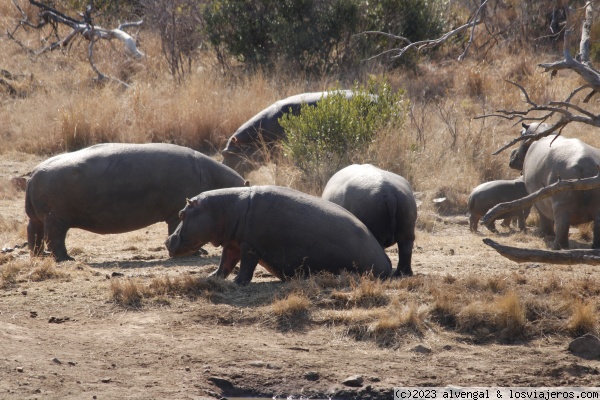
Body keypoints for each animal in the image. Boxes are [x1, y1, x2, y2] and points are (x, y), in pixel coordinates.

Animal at [24, 142, 247, 260]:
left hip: (39, 217)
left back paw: (38, 256)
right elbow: (178, 230)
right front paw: (198, 253)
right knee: (55, 238)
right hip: (57, 218)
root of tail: (34, 172)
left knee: (34, 233)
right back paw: (67, 259)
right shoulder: (177, 213)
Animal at [164, 186, 392, 286]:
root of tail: (388, 262)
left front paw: (238, 283)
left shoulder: (249, 245)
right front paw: (211, 277)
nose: (167, 241)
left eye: (181, 213)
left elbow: (246, 266)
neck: (223, 210)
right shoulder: (233, 244)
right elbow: (225, 264)